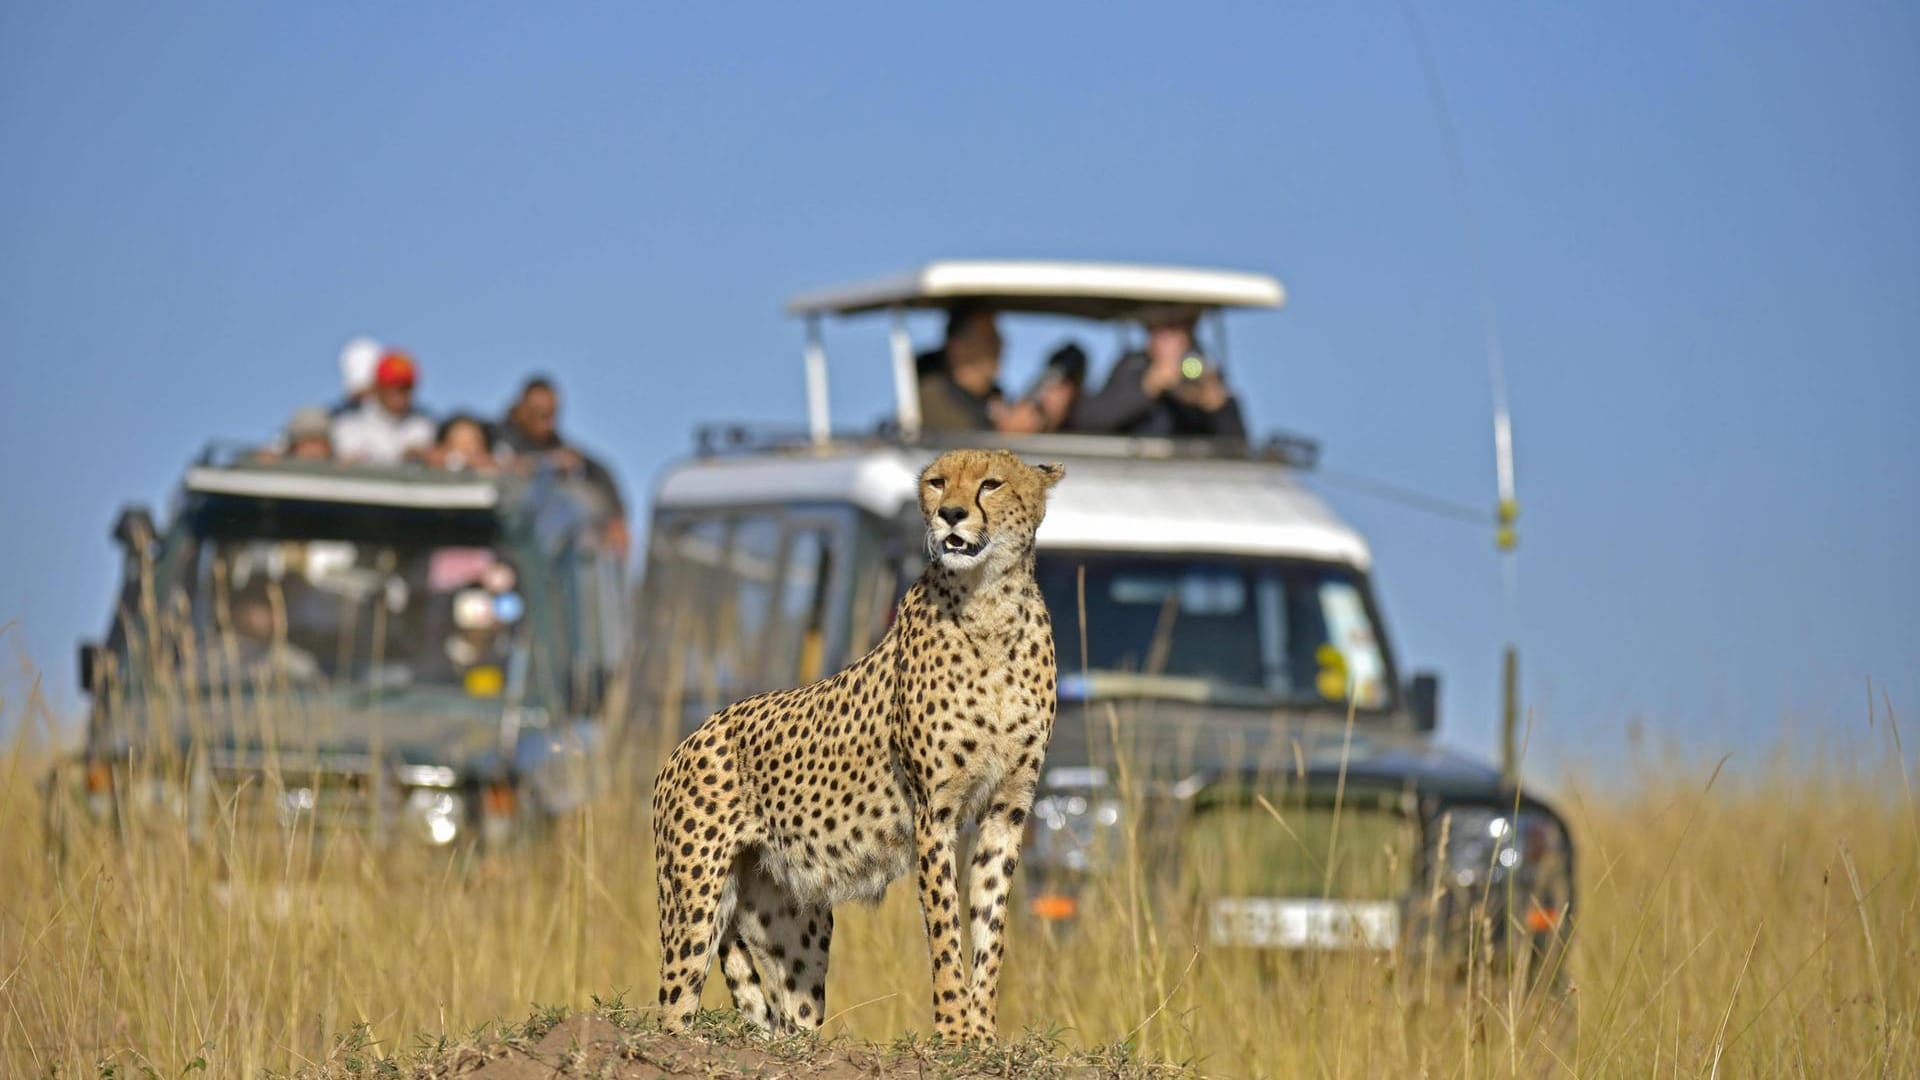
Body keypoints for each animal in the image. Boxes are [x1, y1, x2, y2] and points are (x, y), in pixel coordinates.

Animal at [648, 445, 1067, 1037]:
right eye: (938, 483)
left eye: (991, 484)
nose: (952, 515)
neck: (990, 604)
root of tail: (688, 740)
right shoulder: (933, 812)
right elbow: (945, 930)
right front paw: (953, 1030)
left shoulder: (1008, 809)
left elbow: (990, 926)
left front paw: (982, 1031)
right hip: (694, 905)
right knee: (673, 1004)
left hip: (795, 922)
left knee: (794, 1015)